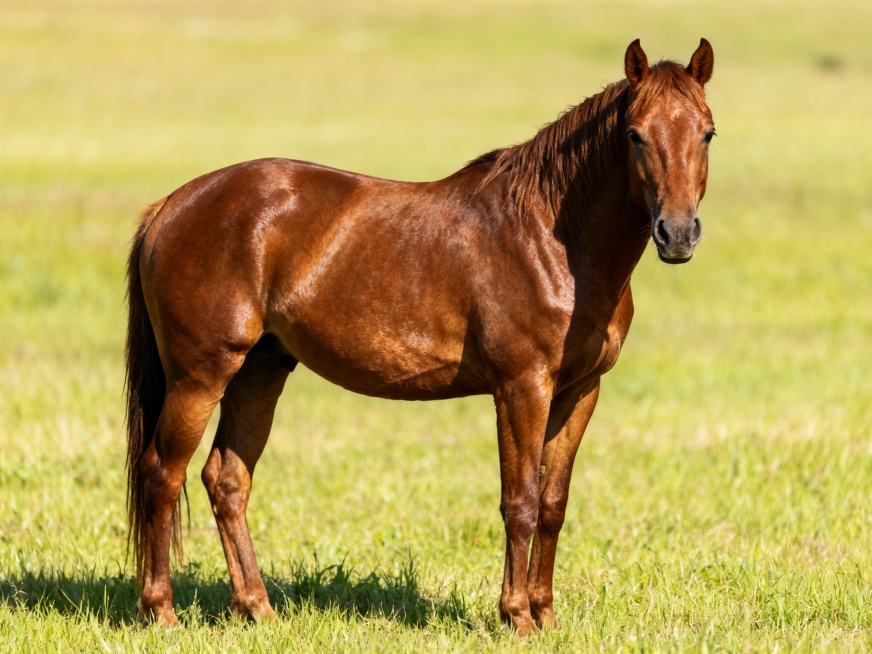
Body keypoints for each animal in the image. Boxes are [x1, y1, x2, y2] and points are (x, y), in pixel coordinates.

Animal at [125, 38, 715, 634]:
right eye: (634, 134)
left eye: (707, 132)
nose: (678, 234)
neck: (550, 238)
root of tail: (170, 206)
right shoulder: (521, 388)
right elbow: (520, 501)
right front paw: (517, 616)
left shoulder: (579, 391)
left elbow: (552, 503)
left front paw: (546, 615)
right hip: (200, 376)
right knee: (162, 475)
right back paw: (162, 611)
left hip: (259, 371)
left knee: (227, 480)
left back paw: (257, 607)